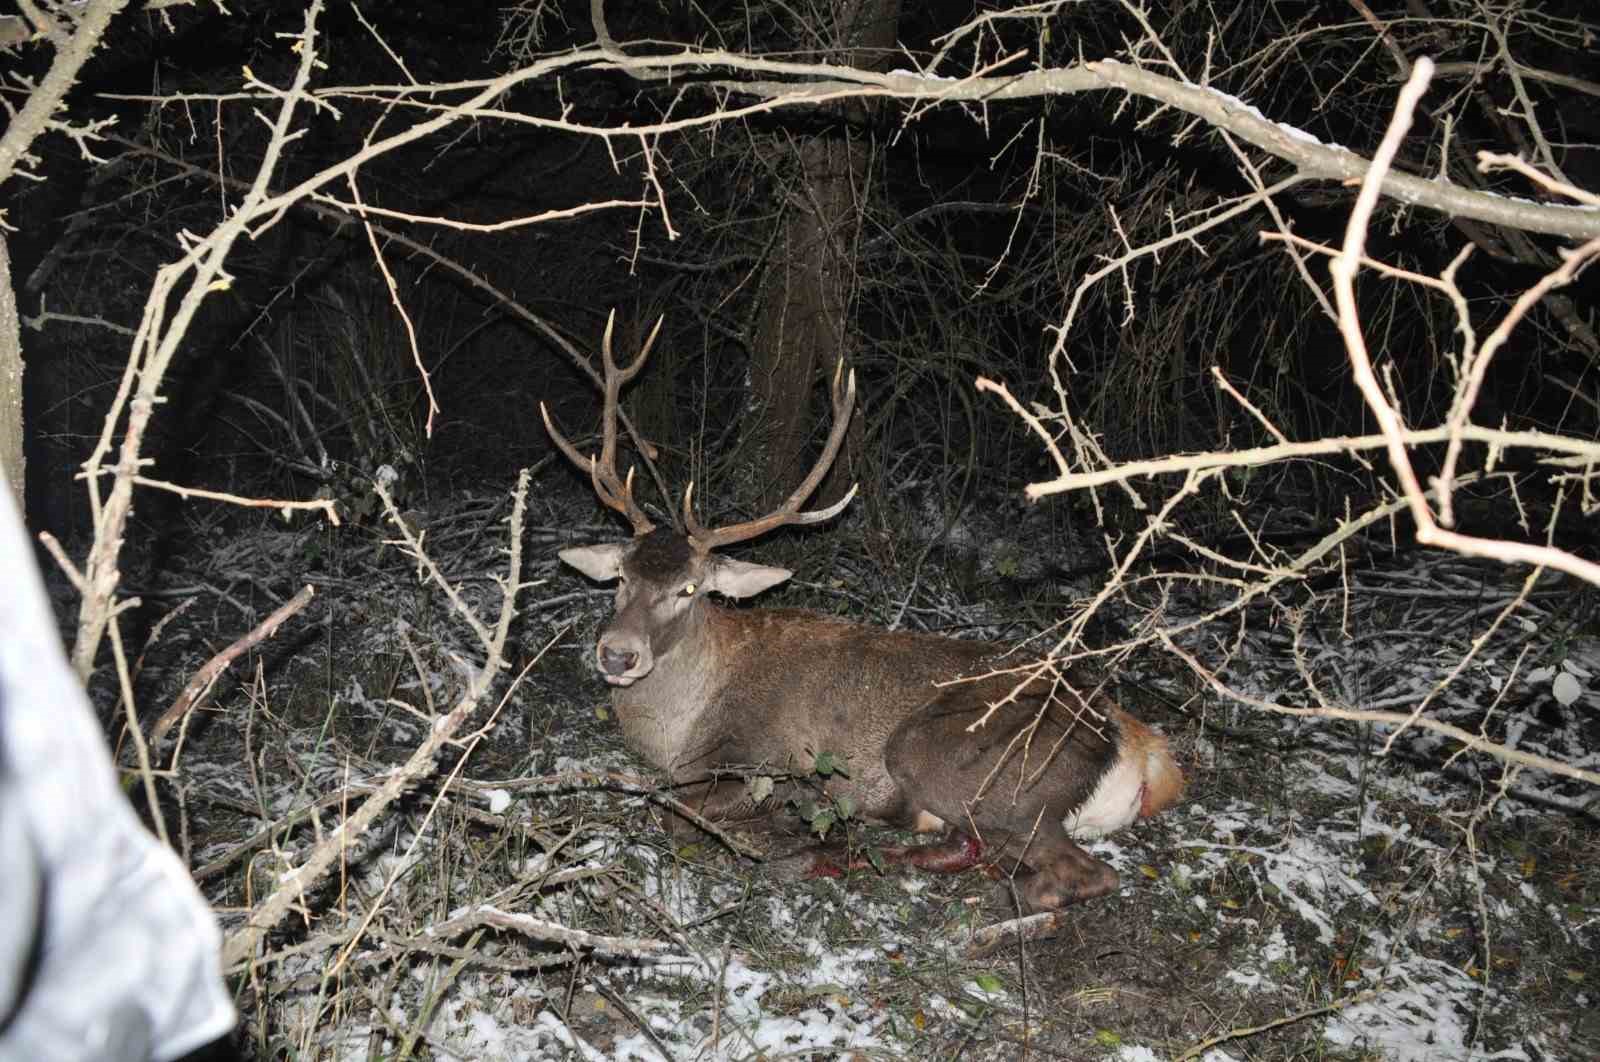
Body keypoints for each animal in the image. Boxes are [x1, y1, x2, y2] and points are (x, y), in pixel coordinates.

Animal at [544, 316, 1184, 914]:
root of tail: (1137, 748)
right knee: (975, 846)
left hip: (950, 759)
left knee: (1080, 871)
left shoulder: (767, 761)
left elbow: (672, 813)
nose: (618, 653)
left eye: (690, 588)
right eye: (622, 576)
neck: (677, 734)